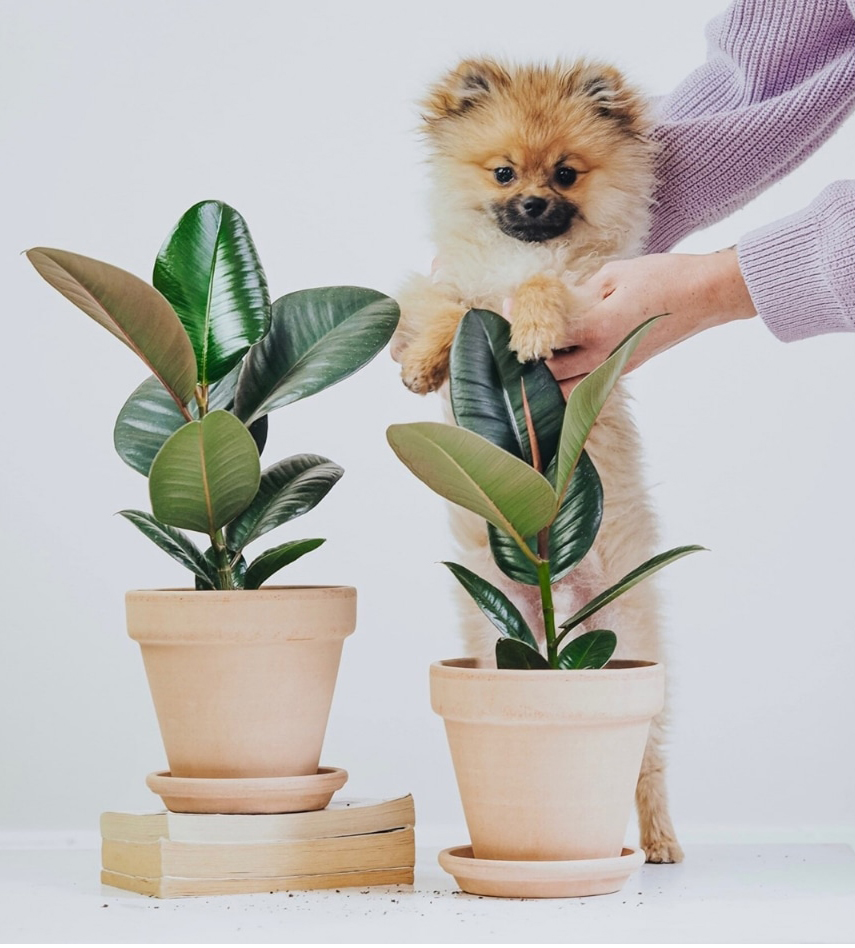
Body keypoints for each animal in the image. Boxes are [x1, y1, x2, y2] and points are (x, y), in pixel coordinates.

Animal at [392, 55, 684, 864]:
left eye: (565, 174)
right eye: (501, 172)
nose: (529, 204)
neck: (512, 254)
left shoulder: (593, 294)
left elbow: (545, 284)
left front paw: (529, 325)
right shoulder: (444, 282)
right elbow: (442, 305)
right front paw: (424, 362)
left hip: (627, 638)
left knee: (647, 761)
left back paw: (659, 841)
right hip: (500, 636)